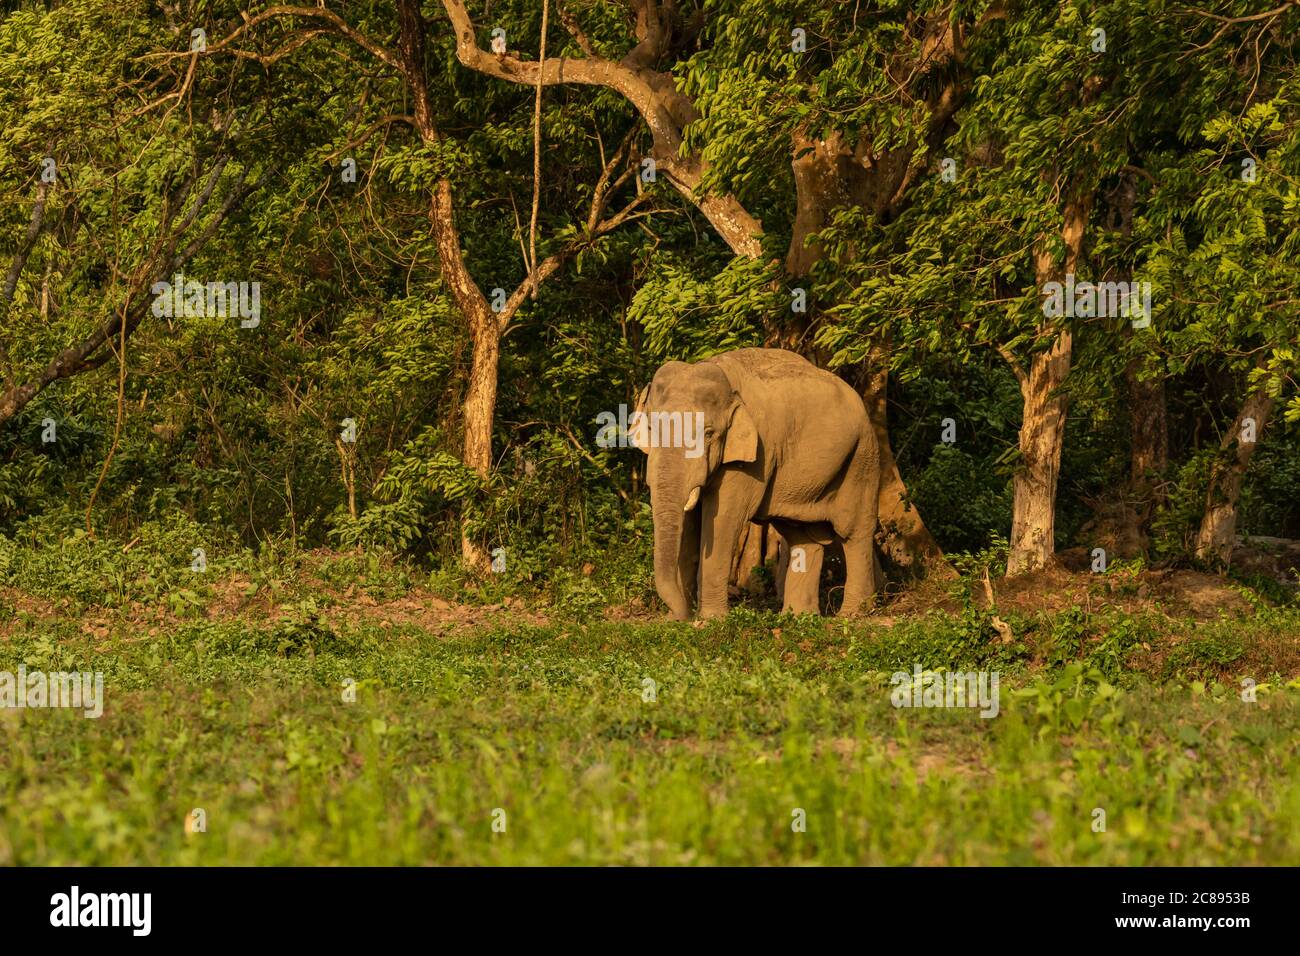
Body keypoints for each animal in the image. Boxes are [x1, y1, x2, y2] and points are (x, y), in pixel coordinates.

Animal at [631, 345, 883, 621]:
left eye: (709, 434)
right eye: (651, 429)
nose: (679, 615)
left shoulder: (753, 458)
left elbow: (724, 519)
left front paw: (710, 619)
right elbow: (689, 523)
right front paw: (680, 619)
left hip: (862, 456)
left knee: (853, 530)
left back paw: (852, 614)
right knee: (801, 534)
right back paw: (799, 617)